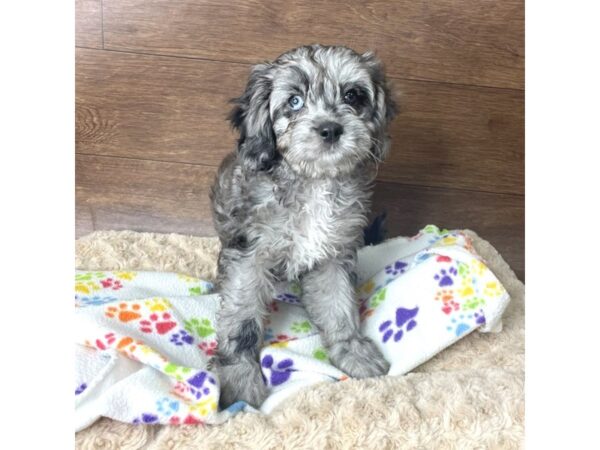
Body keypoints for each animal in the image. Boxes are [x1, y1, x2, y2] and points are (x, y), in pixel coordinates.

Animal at [209, 44, 396, 406]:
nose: (330, 129)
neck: (313, 182)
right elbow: (241, 316)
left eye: (353, 96)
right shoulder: (249, 255)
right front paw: (239, 377)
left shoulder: (332, 256)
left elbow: (338, 305)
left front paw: (352, 352)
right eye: (294, 101)